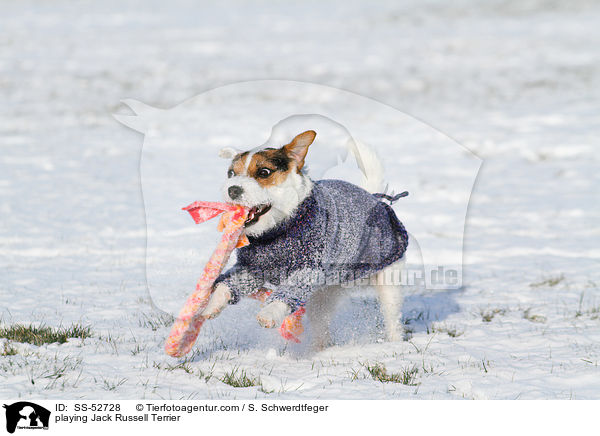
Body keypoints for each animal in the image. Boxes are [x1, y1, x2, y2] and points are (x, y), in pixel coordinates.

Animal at [202, 131, 408, 350]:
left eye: (264, 172)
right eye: (231, 173)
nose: (232, 189)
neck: (278, 229)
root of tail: (374, 198)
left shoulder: (307, 269)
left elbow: (286, 292)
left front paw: (269, 313)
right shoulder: (250, 267)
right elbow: (228, 284)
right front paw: (212, 304)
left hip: (388, 281)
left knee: (393, 318)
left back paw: (394, 344)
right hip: (323, 295)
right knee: (321, 324)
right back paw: (318, 348)